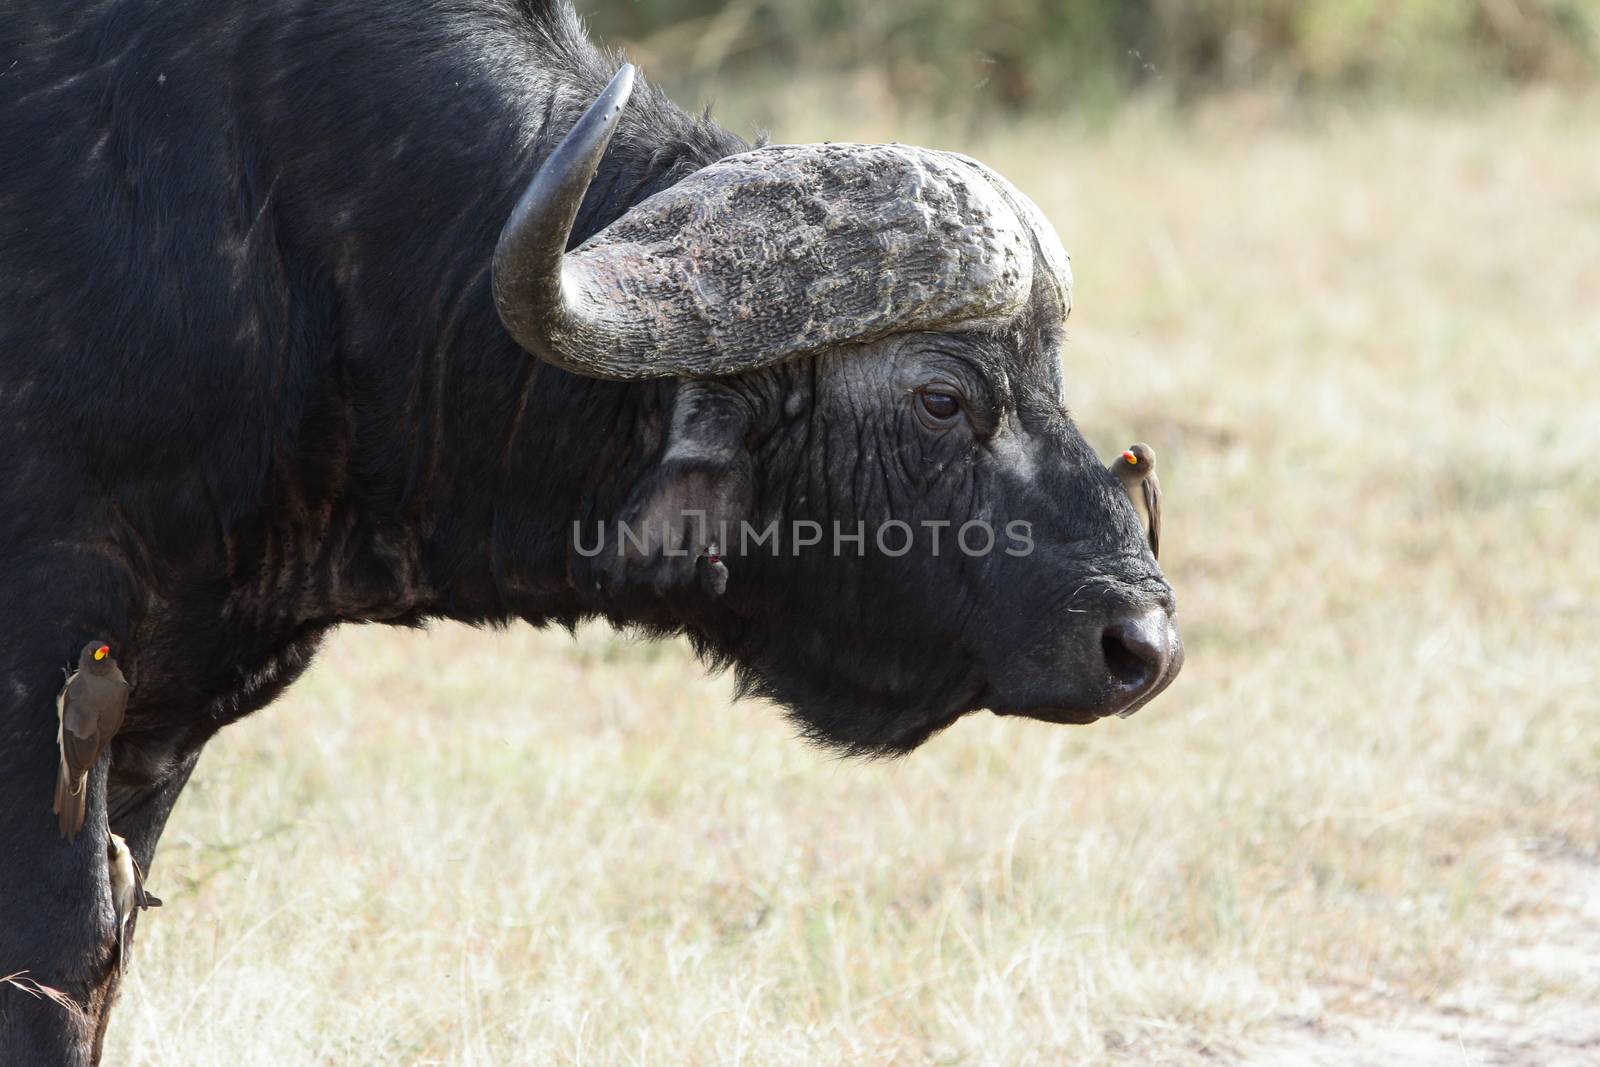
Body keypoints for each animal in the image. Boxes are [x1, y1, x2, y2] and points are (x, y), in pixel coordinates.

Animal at [0, 0, 1177, 1062]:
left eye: (1052, 380)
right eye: (942, 396)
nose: (1142, 645)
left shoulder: (158, 732)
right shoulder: (47, 697)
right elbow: (58, 968)